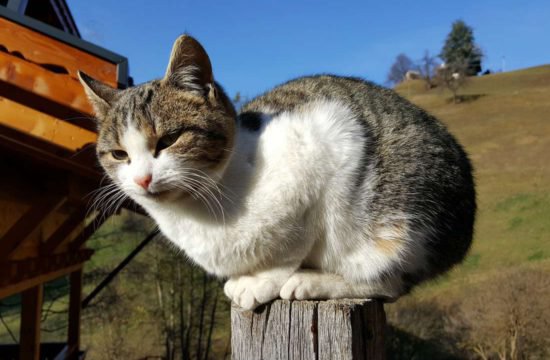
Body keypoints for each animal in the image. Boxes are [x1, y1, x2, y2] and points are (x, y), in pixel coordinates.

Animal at [78, 34, 478, 310]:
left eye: (169, 139)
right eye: (119, 154)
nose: (142, 179)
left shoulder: (328, 137)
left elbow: (289, 245)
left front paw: (260, 281)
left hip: (402, 225)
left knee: (388, 283)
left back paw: (313, 282)